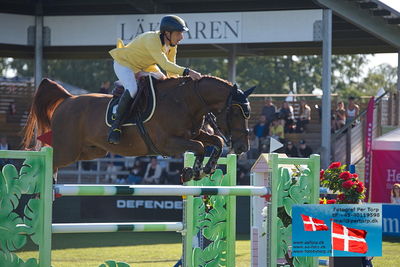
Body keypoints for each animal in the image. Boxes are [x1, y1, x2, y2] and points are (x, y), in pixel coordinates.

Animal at [22, 75, 253, 182]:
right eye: (235, 112)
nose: (243, 147)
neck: (184, 101)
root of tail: (68, 99)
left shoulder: (193, 134)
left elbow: (216, 141)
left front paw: (207, 169)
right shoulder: (167, 143)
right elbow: (199, 147)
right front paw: (192, 172)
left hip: (91, 151)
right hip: (68, 150)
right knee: (48, 158)